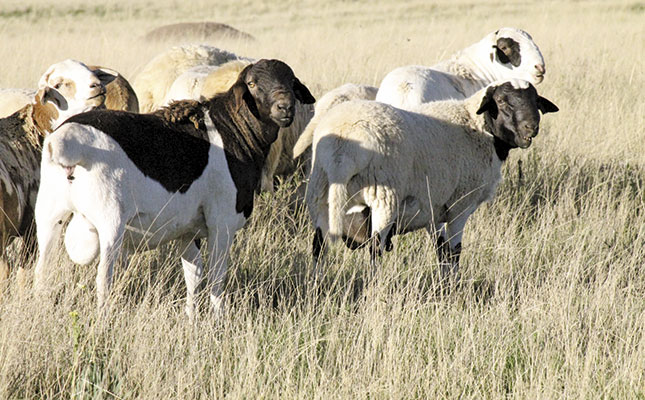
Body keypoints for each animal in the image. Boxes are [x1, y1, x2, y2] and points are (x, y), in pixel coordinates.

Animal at [304, 78, 556, 276]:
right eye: (502, 101)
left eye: (536, 101)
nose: (531, 128)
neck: (478, 127)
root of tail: (341, 151)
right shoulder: (460, 204)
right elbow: (454, 251)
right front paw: (454, 285)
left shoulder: (433, 207)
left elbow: (440, 249)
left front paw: (444, 283)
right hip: (384, 197)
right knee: (375, 249)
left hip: (320, 192)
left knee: (319, 244)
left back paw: (318, 282)